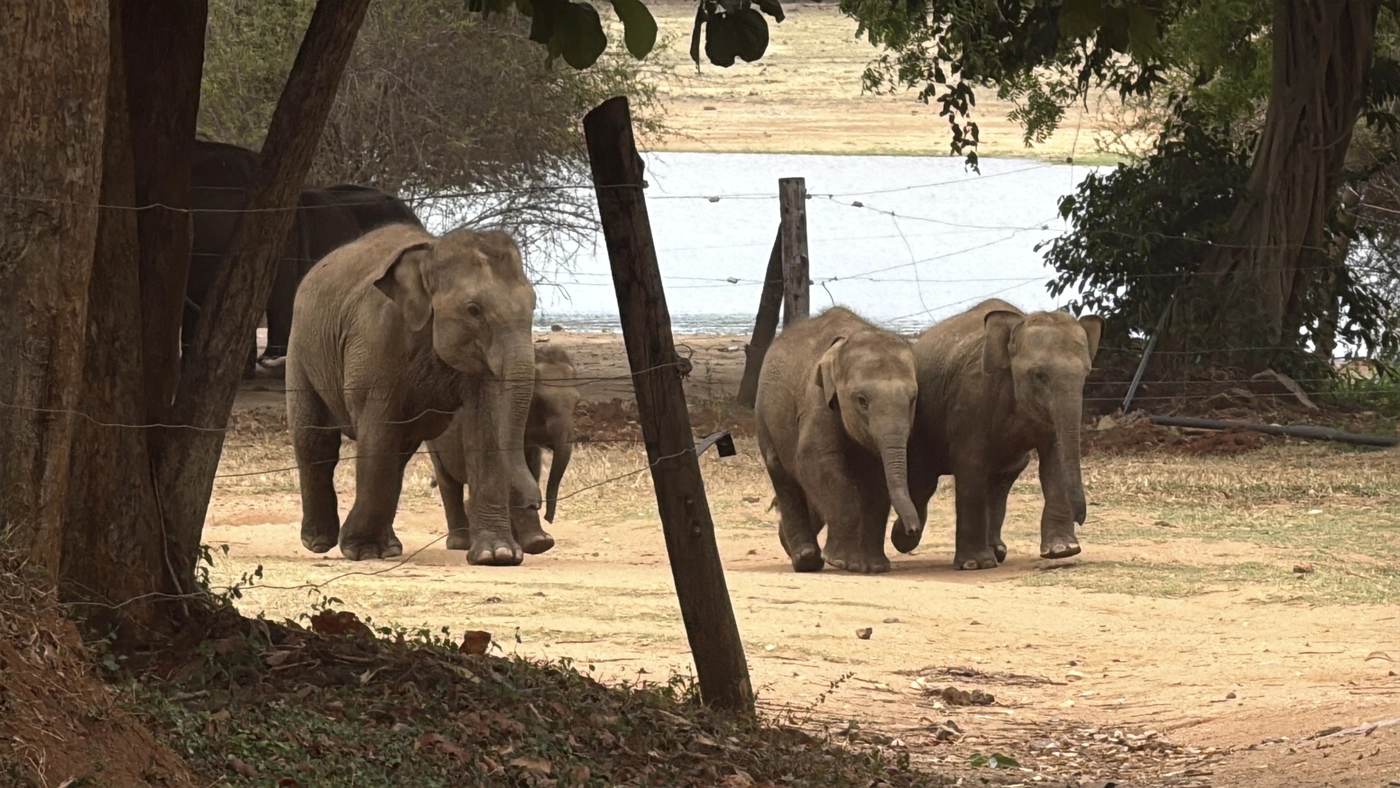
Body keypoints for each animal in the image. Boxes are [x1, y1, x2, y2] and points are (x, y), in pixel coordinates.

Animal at [285, 223, 540, 565]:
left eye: (533, 305)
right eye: (473, 310)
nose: (534, 503)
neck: (430, 254)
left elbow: (484, 429)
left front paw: (496, 556)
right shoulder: (376, 337)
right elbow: (378, 431)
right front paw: (360, 550)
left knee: (400, 451)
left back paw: (388, 546)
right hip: (301, 348)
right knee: (316, 440)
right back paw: (319, 541)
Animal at [427, 344, 580, 555]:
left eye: (576, 403)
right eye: (539, 403)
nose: (548, 517)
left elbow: (531, 472)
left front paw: (535, 542)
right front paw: (539, 543)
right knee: (448, 482)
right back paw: (460, 544)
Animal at [754, 307, 923, 574]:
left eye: (912, 399)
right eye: (862, 401)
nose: (912, 530)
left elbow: (877, 481)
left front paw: (873, 567)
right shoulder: (817, 401)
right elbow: (815, 460)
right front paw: (842, 562)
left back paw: (788, 544)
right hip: (764, 418)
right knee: (782, 475)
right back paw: (805, 559)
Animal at [892, 298, 1104, 570]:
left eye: (1087, 373)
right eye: (1039, 375)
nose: (1082, 518)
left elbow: (1054, 460)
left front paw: (1063, 551)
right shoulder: (971, 397)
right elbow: (969, 463)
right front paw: (975, 564)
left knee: (999, 481)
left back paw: (998, 551)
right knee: (924, 480)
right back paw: (905, 540)